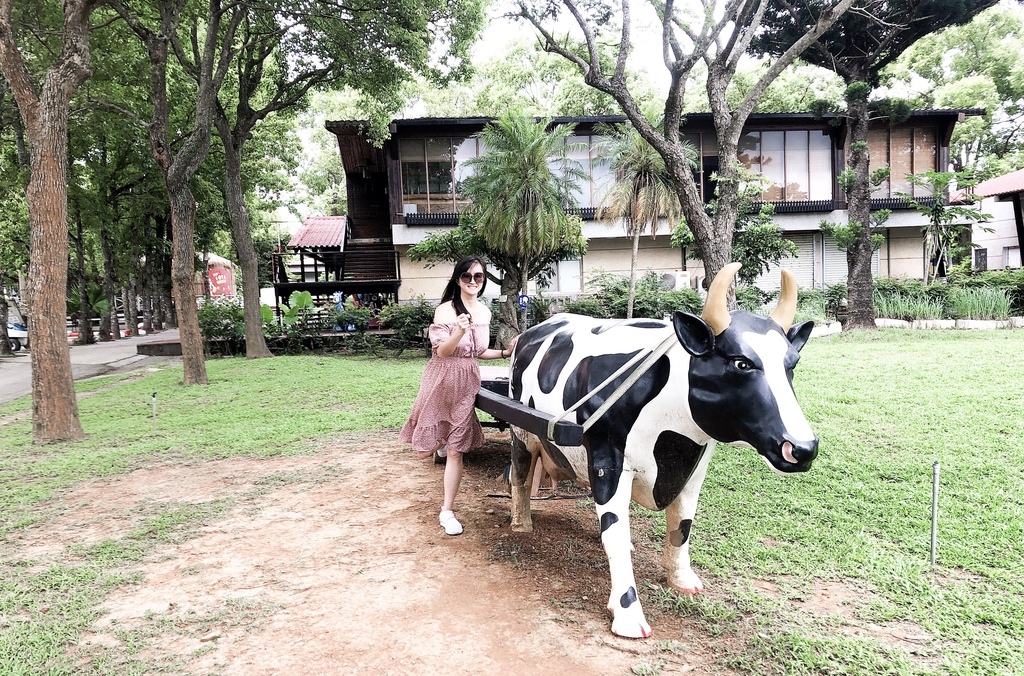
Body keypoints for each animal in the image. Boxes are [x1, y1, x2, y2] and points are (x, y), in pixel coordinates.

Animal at [507, 262, 819, 639]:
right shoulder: (608, 462)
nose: (801, 448)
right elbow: (614, 531)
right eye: (741, 363)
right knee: (520, 476)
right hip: (521, 433)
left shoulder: (696, 464)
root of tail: (531, 331)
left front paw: (682, 579)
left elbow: (682, 525)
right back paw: (520, 524)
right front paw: (628, 614)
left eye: (792, 365)